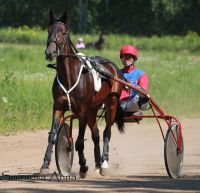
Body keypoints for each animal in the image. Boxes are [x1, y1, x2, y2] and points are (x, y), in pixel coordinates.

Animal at [40, 10, 124, 176]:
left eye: (63, 32)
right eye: (48, 30)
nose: (49, 52)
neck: (69, 76)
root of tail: (112, 66)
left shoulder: (83, 111)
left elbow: (79, 141)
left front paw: (83, 166)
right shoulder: (58, 106)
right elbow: (52, 135)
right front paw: (45, 165)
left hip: (111, 105)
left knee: (106, 133)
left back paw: (104, 164)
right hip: (93, 109)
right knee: (96, 134)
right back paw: (97, 163)